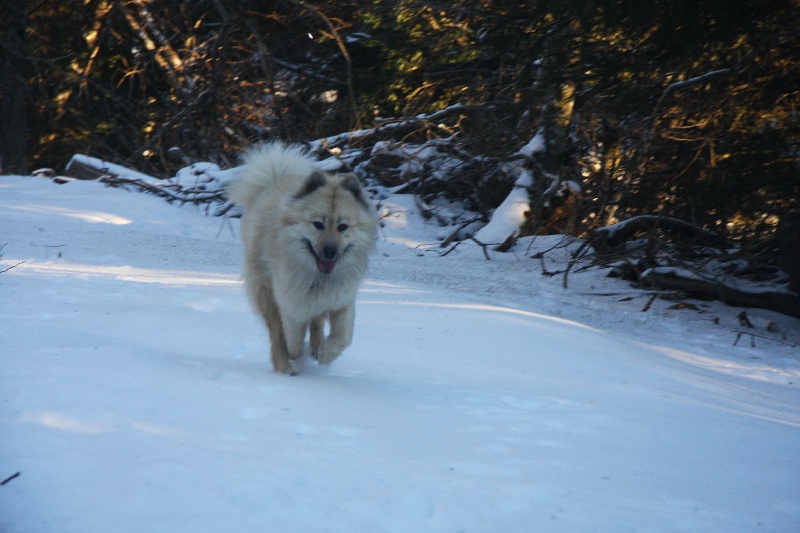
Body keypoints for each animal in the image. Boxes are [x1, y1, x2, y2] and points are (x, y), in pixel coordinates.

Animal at [223, 141, 376, 374]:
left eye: (343, 227)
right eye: (318, 224)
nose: (330, 251)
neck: (318, 277)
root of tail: (273, 181)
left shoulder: (341, 301)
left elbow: (341, 337)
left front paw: (325, 354)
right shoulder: (291, 304)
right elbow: (292, 339)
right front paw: (296, 354)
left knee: (315, 322)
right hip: (265, 292)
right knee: (276, 333)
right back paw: (285, 366)